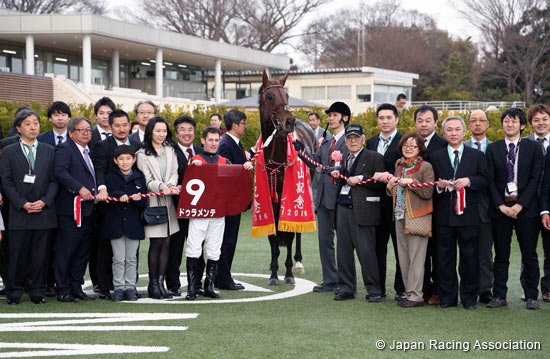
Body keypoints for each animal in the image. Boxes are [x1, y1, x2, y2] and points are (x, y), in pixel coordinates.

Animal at [258, 69, 314, 286]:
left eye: (287, 95)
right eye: (270, 96)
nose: (290, 121)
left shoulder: (287, 196)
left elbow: (289, 234)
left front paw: (289, 273)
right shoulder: (269, 197)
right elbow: (273, 235)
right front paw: (273, 273)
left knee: (298, 229)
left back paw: (298, 262)